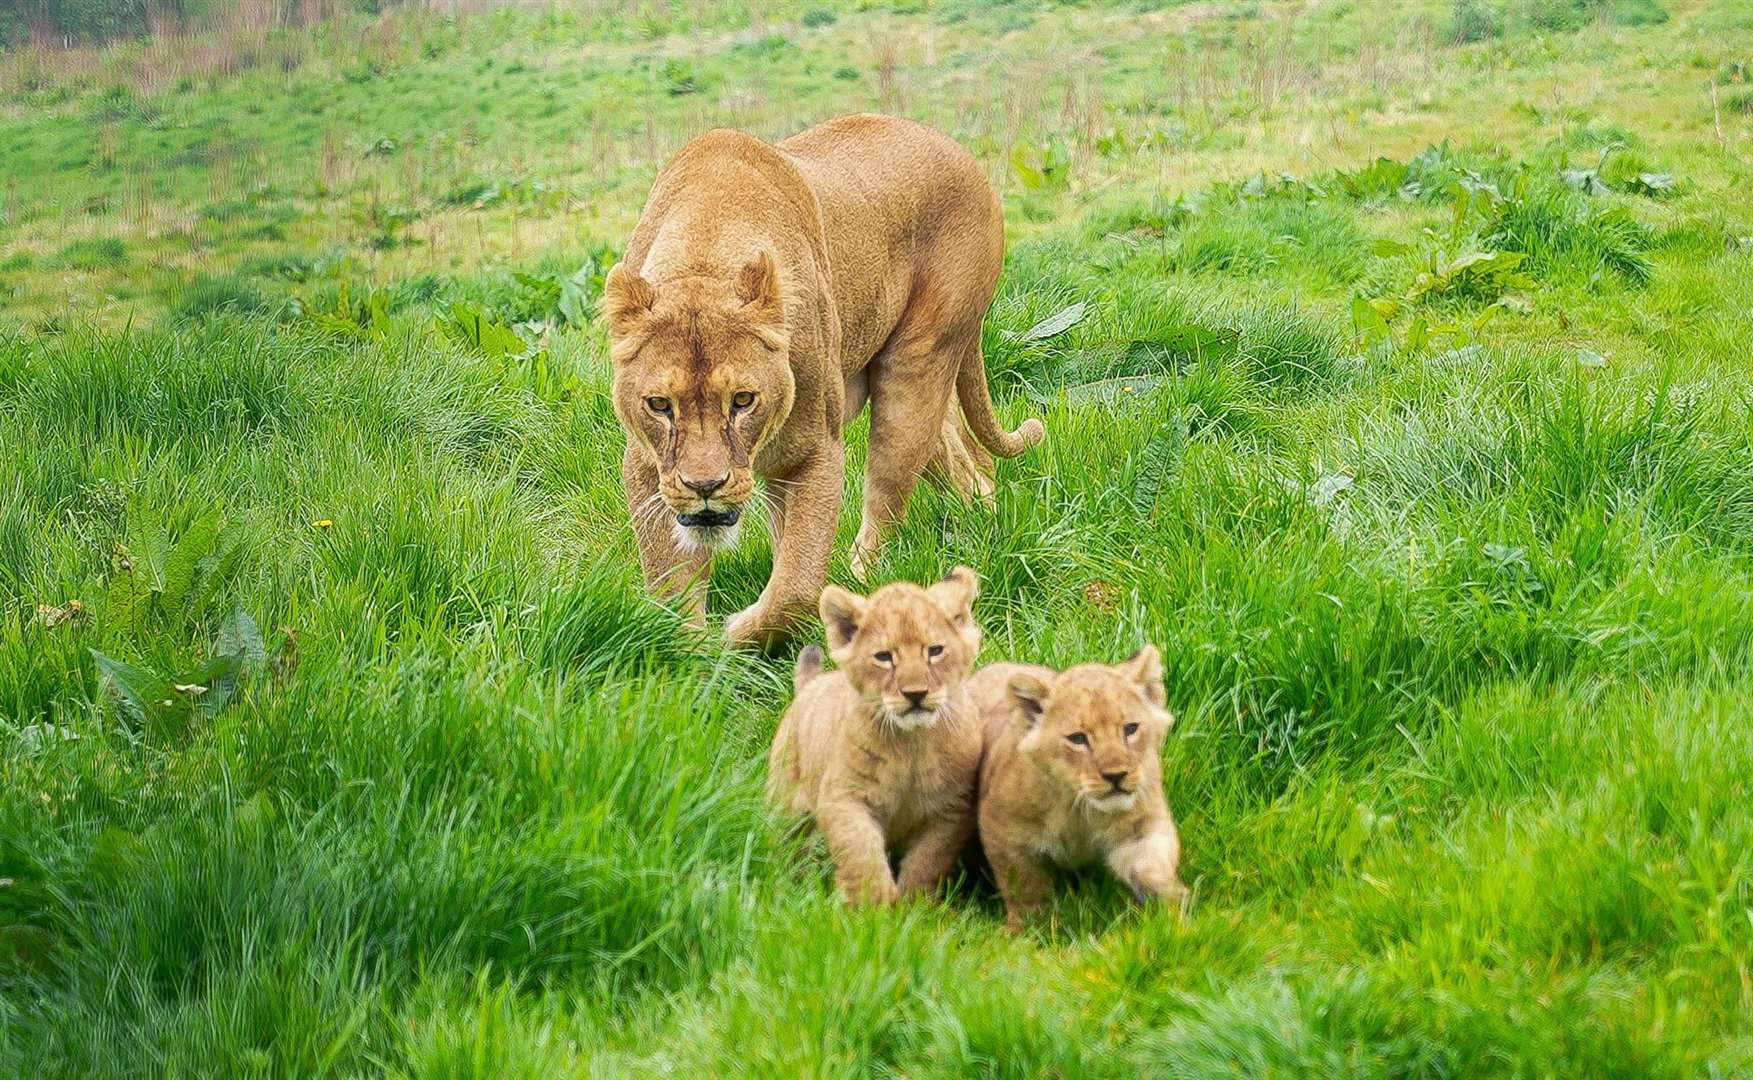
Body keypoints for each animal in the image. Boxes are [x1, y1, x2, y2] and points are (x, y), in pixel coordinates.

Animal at [603, 113, 1037, 645]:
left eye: (742, 400)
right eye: (660, 405)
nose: (705, 486)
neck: (703, 258)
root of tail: (961, 152)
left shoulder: (814, 449)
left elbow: (795, 584)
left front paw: (735, 633)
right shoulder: (648, 464)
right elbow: (671, 579)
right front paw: (691, 648)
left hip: (915, 370)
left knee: (888, 497)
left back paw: (866, 591)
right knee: (965, 460)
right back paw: (983, 522)